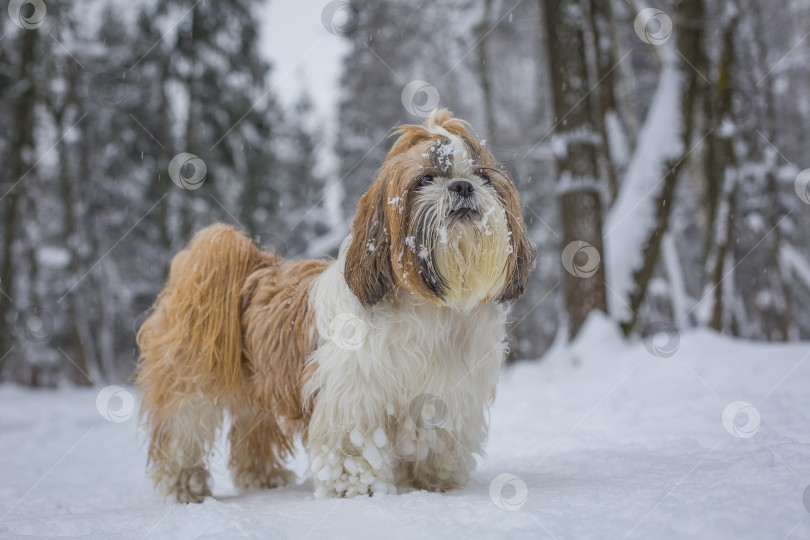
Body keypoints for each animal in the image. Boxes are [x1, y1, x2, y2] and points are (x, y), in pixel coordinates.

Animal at [135, 109, 532, 502]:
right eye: (425, 179)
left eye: (483, 177)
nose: (462, 186)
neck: (431, 305)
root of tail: (254, 266)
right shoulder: (354, 392)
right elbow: (353, 445)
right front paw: (359, 488)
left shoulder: (448, 392)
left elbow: (437, 440)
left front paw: (436, 480)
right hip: (192, 377)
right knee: (184, 427)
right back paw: (185, 485)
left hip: (257, 386)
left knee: (252, 429)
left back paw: (264, 477)